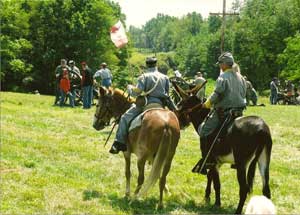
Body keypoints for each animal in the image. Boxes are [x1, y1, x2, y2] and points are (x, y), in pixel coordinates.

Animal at [173, 84, 272, 213]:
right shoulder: (215, 162)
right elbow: (211, 177)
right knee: (266, 189)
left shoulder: (212, 160)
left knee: (244, 189)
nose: (177, 122)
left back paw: (238, 211)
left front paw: (217, 203)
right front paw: (207, 197)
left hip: (242, 164)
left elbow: (216, 183)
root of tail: (262, 129)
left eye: (180, 104)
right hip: (264, 160)